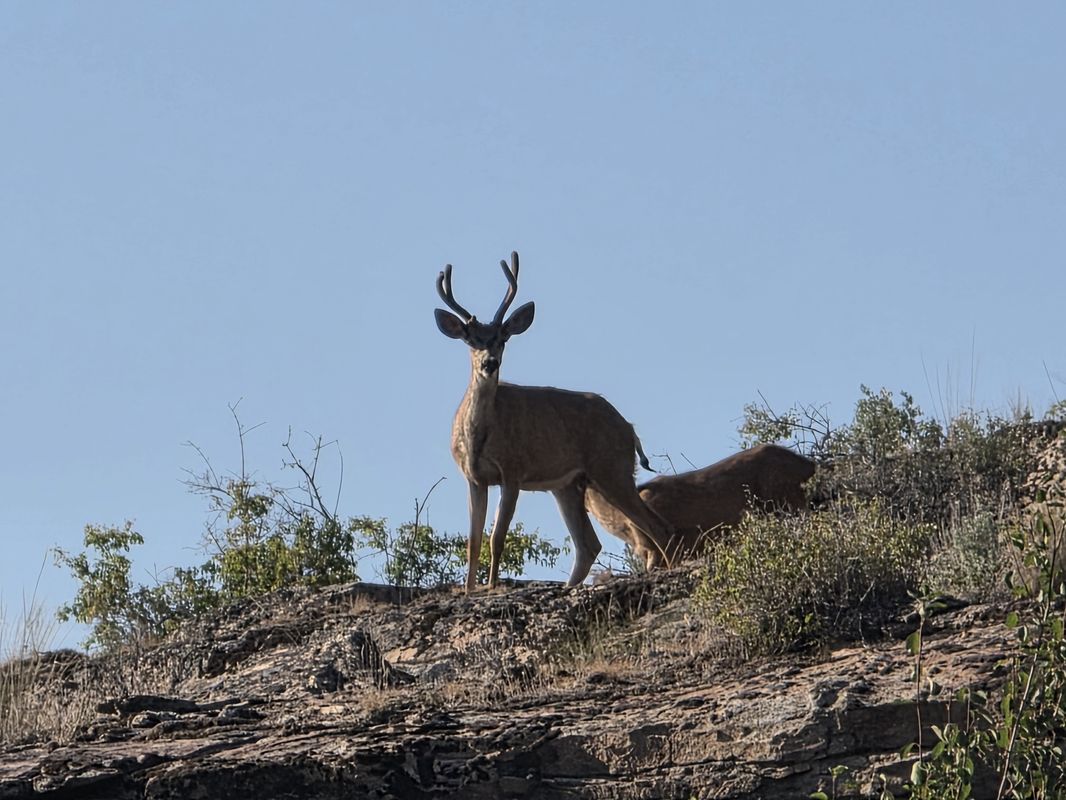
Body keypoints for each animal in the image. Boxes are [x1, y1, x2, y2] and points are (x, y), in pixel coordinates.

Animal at [434, 251, 674, 593]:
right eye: (470, 339)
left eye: (503, 338)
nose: (490, 363)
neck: (480, 435)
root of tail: (629, 429)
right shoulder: (474, 478)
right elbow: (473, 541)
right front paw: (469, 591)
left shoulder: (513, 470)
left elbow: (497, 538)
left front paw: (491, 587)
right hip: (569, 484)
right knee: (589, 544)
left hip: (611, 468)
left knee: (655, 527)